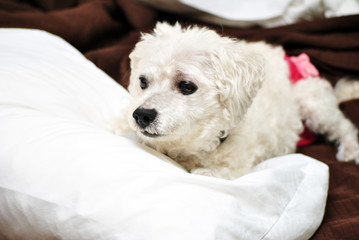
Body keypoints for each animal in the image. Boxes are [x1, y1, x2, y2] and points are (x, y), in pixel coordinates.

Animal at [126, 22, 359, 179]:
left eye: (186, 86)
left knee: (344, 127)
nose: (141, 115)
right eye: (143, 82)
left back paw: (350, 149)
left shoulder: (233, 167)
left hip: (313, 104)